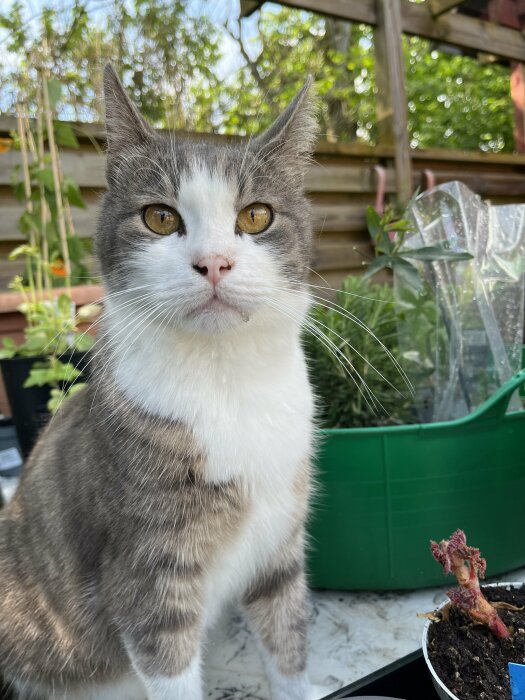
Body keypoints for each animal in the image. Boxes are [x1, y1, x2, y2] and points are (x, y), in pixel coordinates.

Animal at [0, 65, 318, 700]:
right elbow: (168, 665)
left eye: (256, 216)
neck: (227, 383)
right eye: (160, 217)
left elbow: (288, 643)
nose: (214, 262)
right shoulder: (145, 572)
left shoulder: (278, 547)